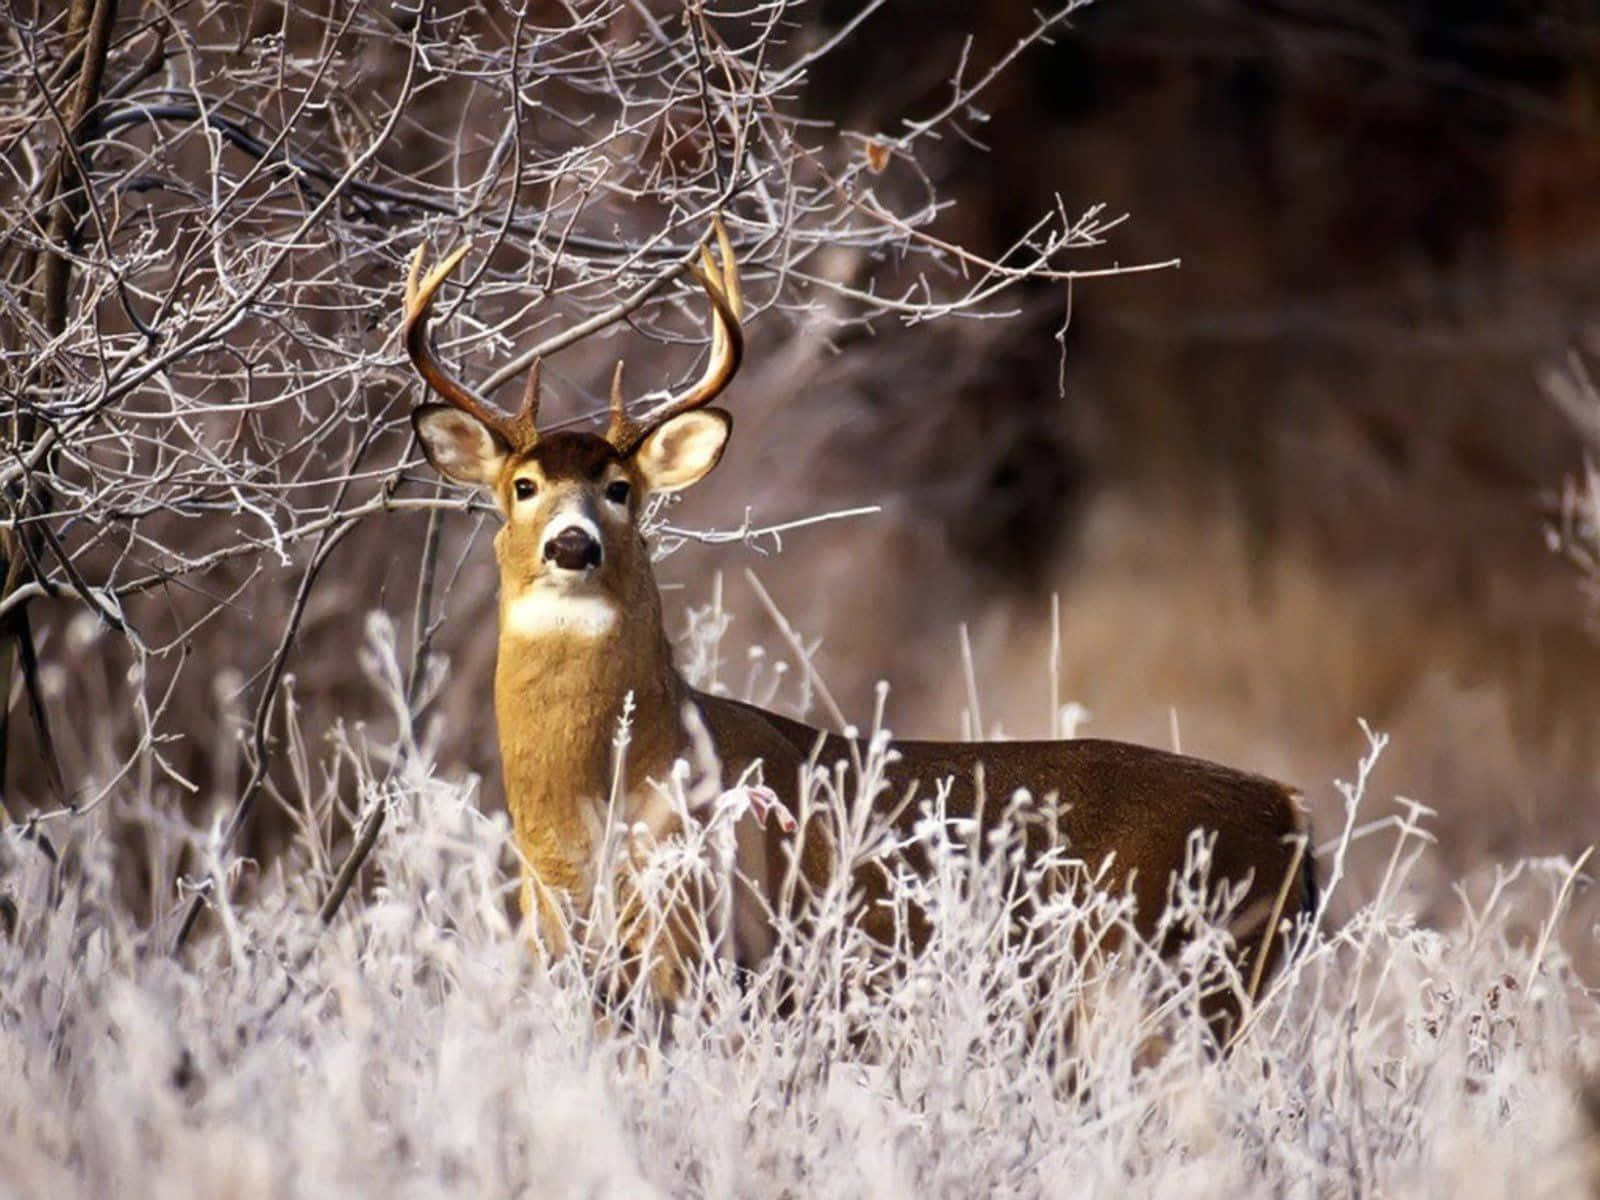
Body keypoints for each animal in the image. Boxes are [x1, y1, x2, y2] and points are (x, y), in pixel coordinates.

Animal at [400, 219, 1316, 1045]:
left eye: (621, 489)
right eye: (522, 486)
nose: (572, 543)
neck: (589, 814)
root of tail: (1289, 809)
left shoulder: (705, 953)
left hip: (1176, 980)